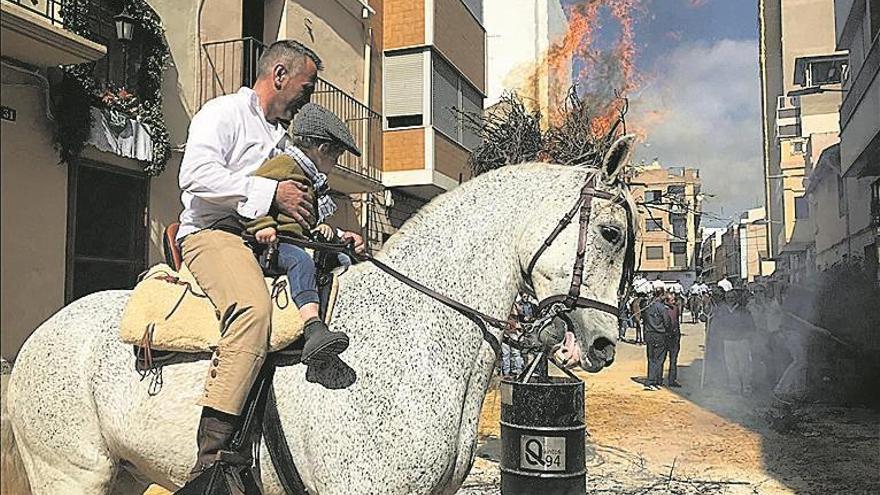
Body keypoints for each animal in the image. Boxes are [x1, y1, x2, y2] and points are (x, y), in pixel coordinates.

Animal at [0, 141, 632, 494]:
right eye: (611, 232)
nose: (604, 344)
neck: (411, 335)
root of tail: (37, 339)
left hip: (125, 475)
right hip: (71, 476)